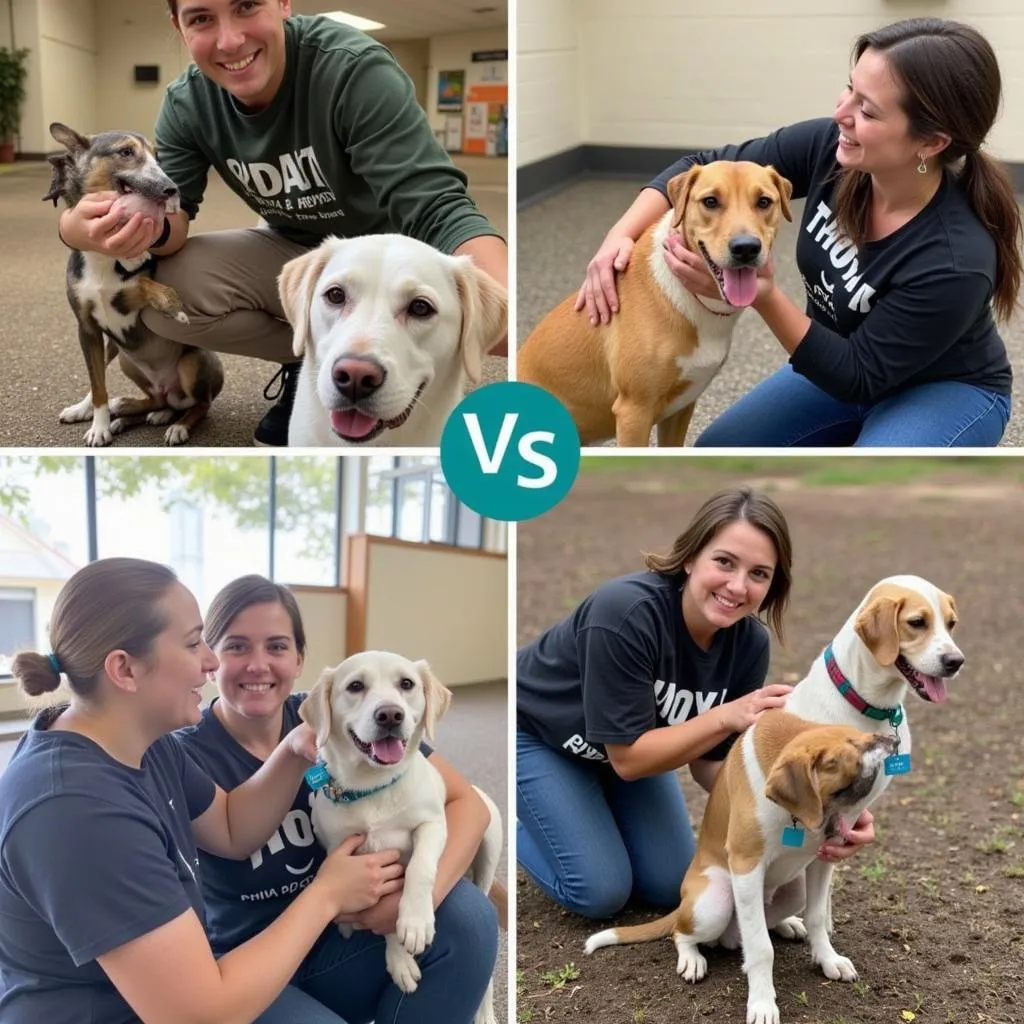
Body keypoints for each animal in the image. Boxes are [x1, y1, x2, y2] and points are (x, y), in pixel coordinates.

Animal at [43, 121, 222, 446]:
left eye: (158, 157)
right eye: (126, 152)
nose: (172, 189)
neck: (104, 254)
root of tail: (169, 389)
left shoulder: (133, 303)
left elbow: (142, 284)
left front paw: (170, 303)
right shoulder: (87, 329)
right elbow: (97, 385)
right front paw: (99, 426)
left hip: (192, 363)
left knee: (200, 404)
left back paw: (176, 425)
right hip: (125, 359)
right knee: (155, 399)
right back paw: (123, 411)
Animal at [589, 577, 962, 1024]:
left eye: (952, 623)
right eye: (917, 622)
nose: (955, 661)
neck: (867, 706)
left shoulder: (831, 846)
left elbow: (819, 913)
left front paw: (826, 957)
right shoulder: (748, 860)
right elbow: (761, 952)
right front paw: (763, 1002)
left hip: (792, 888)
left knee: (765, 924)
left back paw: (785, 926)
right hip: (715, 901)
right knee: (689, 933)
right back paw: (693, 958)